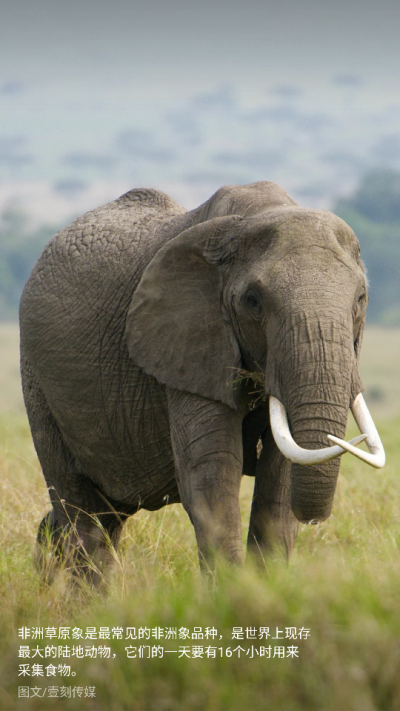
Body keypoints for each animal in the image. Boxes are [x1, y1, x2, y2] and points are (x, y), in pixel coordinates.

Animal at [19, 181, 384, 580]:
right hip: (37, 381)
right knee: (81, 508)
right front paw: (231, 592)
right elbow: (213, 478)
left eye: (361, 298)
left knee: (106, 515)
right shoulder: (187, 342)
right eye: (253, 301)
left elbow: (280, 483)